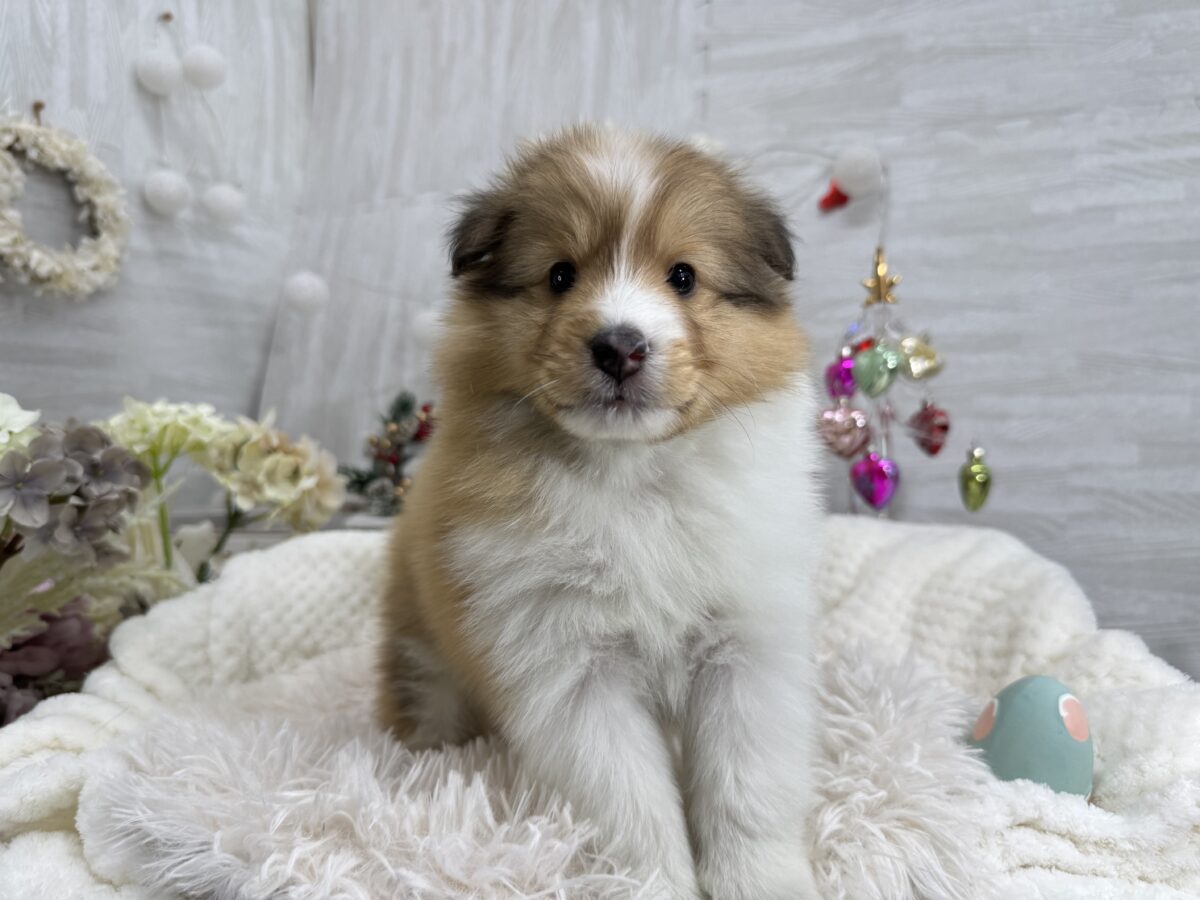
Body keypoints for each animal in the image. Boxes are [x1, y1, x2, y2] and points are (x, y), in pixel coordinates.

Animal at [378, 124, 822, 899]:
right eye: (560, 274)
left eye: (683, 276)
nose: (619, 345)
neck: (631, 478)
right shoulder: (569, 669)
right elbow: (631, 806)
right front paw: (657, 885)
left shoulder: (746, 648)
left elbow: (747, 788)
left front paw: (759, 882)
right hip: (422, 656)